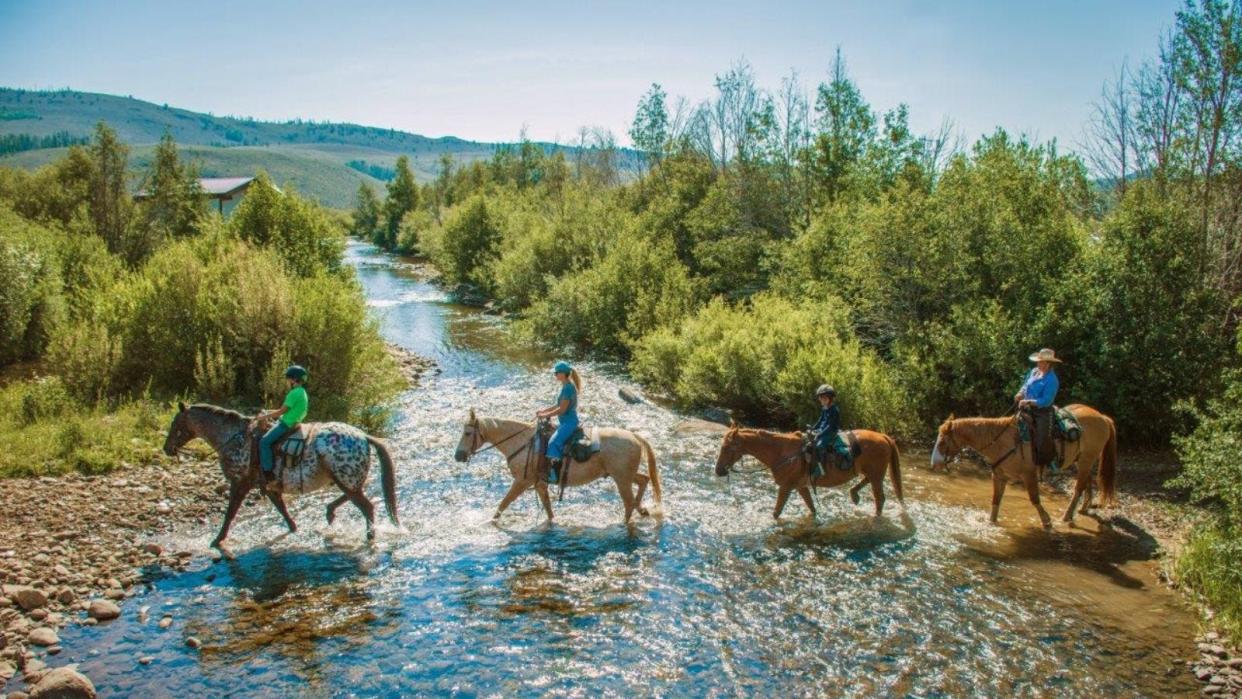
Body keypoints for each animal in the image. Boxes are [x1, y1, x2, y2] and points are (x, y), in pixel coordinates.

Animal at [160, 404, 399, 546]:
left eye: (175, 424)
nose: (166, 449)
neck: (233, 438)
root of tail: (364, 436)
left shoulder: (240, 483)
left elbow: (230, 513)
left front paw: (217, 540)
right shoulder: (270, 487)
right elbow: (282, 509)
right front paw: (294, 528)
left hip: (345, 479)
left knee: (366, 507)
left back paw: (369, 537)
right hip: (346, 480)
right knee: (353, 498)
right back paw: (330, 513)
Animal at [715, 422, 909, 518]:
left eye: (726, 448)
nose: (718, 471)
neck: (782, 451)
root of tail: (884, 436)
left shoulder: (786, 487)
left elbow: (777, 512)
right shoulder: (801, 486)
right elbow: (812, 508)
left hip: (876, 475)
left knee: (880, 499)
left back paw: (876, 518)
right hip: (873, 473)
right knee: (866, 482)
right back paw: (854, 494)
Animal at [929, 404, 1122, 531]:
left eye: (943, 442)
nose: (934, 464)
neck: (1001, 441)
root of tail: (1103, 417)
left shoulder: (1029, 475)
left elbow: (1034, 498)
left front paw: (1047, 522)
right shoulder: (999, 476)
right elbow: (996, 500)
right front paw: (991, 523)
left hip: (1086, 460)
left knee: (1078, 487)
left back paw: (1067, 515)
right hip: (1082, 460)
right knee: (1087, 482)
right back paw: (1083, 508)